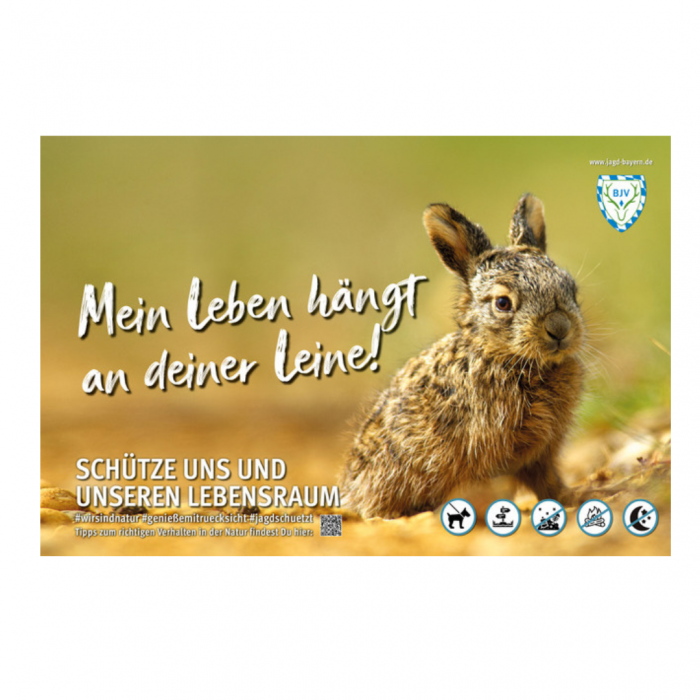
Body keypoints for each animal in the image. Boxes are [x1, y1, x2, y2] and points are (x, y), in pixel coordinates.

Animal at [339, 194, 587, 519]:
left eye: (572, 289)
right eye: (503, 303)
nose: (559, 328)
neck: (504, 358)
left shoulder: (540, 453)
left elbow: (548, 482)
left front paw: (574, 497)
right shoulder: (488, 444)